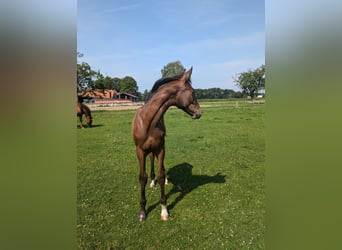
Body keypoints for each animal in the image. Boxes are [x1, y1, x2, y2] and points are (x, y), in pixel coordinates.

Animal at [131, 67, 200, 221]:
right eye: (193, 92)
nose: (199, 112)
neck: (148, 122)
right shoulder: (140, 151)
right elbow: (142, 177)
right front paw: (142, 212)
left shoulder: (160, 149)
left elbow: (161, 175)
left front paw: (164, 210)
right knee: (151, 162)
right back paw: (152, 182)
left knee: (160, 166)